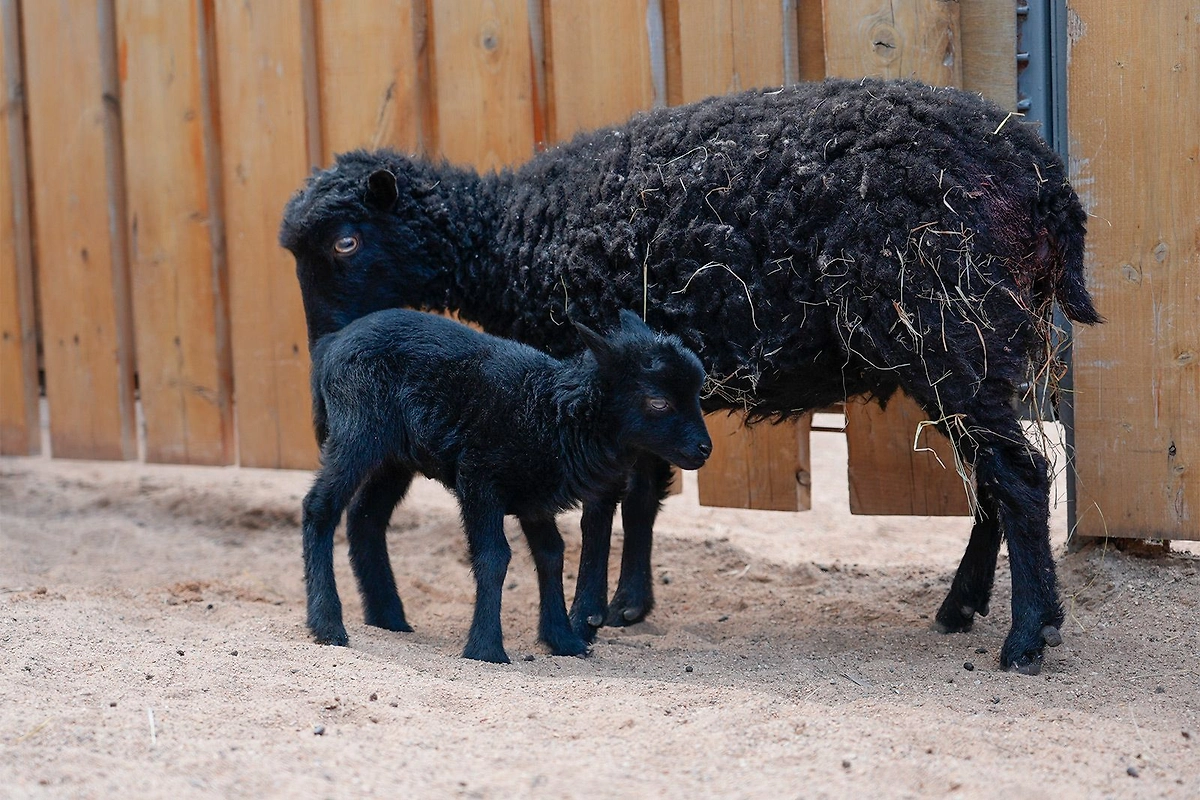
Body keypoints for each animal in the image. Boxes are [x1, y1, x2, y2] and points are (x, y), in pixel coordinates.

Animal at [302, 307, 711, 663]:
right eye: (658, 402)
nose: (704, 449)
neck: (551, 411)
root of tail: (332, 343)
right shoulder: (479, 478)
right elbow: (495, 557)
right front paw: (486, 648)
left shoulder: (534, 498)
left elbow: (551, 554)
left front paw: (562, 640)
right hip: (358, 429)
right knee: (320, 507)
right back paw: (327, 624)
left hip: (395, 457)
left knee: (365, 518)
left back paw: (389, 618)